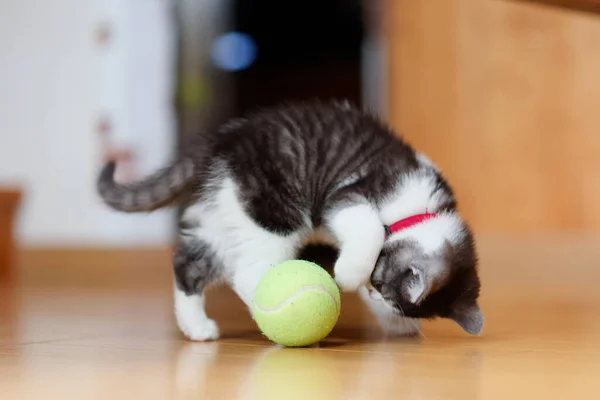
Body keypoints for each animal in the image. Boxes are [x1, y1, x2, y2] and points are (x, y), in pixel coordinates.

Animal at [97, 100, 482, 340]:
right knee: (245, 271)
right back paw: (269, 309)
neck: (422, 210)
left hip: (225, 211)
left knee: (189, 265)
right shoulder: (351, 193)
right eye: (383, 286)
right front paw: (348, 274)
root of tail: (222, 141)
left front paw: (396, 324)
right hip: (272, 208)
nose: (375, 295)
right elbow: (369, 226)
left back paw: (197, 327)